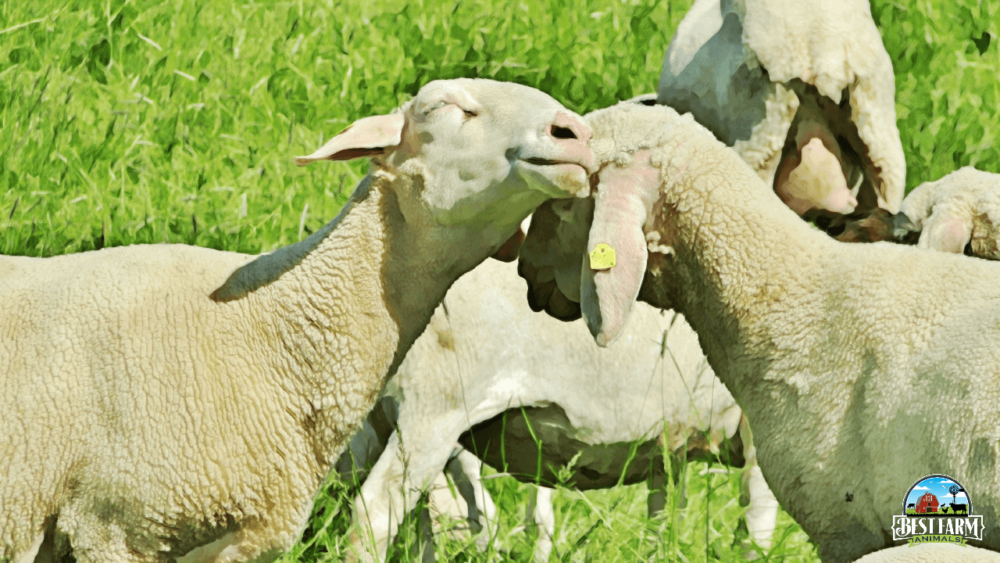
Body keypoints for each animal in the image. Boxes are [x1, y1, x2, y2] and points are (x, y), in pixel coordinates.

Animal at [346, 256, 780, 563]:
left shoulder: (670, 441)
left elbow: (663, 514)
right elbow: (756, 528)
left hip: (384, 414)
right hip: (433, 407)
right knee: (377, 512)